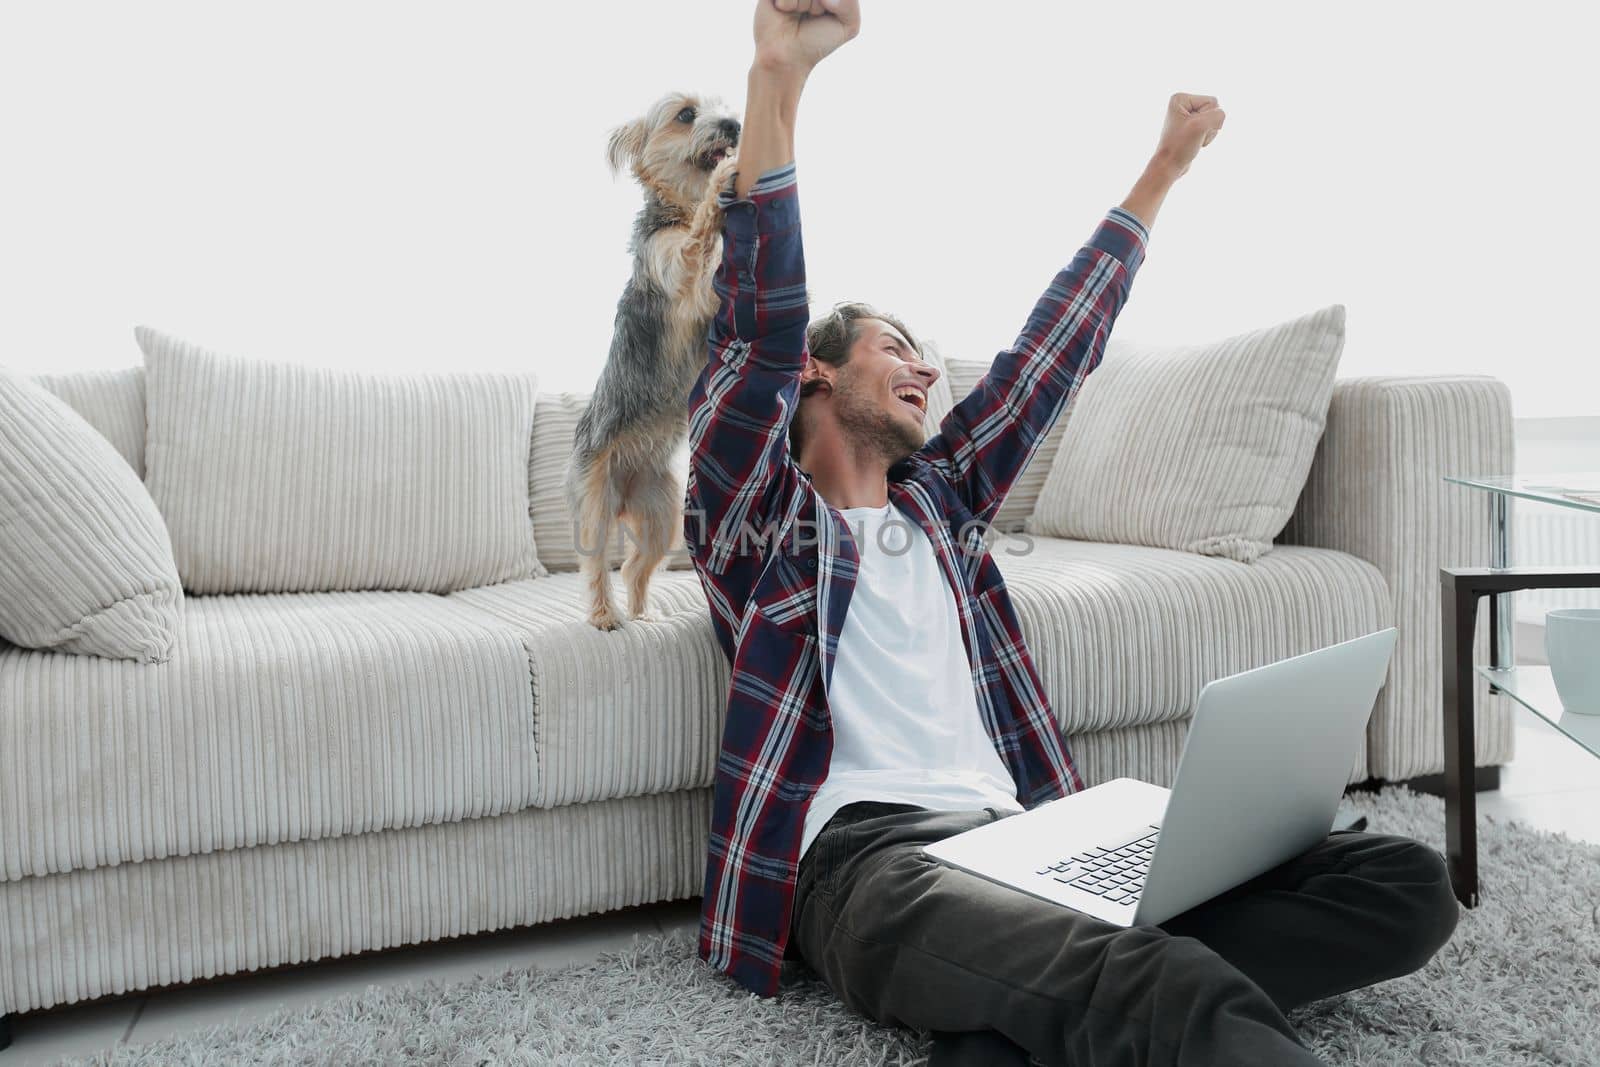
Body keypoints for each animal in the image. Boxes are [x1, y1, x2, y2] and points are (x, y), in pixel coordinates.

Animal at [566, 93, 739, 633]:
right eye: (686, 114)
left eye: (724, 107)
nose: (734, 124)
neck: (677, 208)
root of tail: (625, 489)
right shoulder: (675, 265)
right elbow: (698, 248)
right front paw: (723, 180)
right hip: (594, 502)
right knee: (596, 566)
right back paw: (605, 616)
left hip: (663, 514)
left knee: (636, 567)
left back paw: (642, 615)